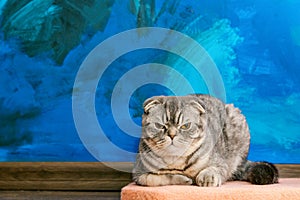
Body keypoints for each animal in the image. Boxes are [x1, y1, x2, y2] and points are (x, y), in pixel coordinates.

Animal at [132, 94, 278, 187]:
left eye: (185, 126)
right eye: (159, 125)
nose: (172, 135)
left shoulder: (221, 164)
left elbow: (213, 169)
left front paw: (207, 177)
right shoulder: (138, 174)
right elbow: (154, 179)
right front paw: (184, 179)